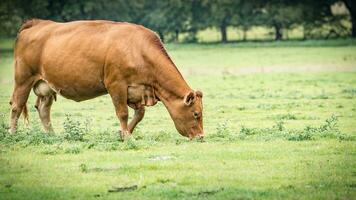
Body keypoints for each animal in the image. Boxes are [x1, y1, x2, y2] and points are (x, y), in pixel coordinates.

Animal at [9, 19, 204, 140]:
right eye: (196, 114)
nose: (201, 137)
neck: (138, 50)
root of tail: (37, 23)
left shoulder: (136, 90)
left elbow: (139, 114)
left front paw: (124, 133)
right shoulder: (116, 85)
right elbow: (122, 113)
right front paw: (127, 136)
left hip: (46, 86)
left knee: (43, 109)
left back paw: (51, 135)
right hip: (23, 80)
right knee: (16, 106)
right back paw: (12, 133)